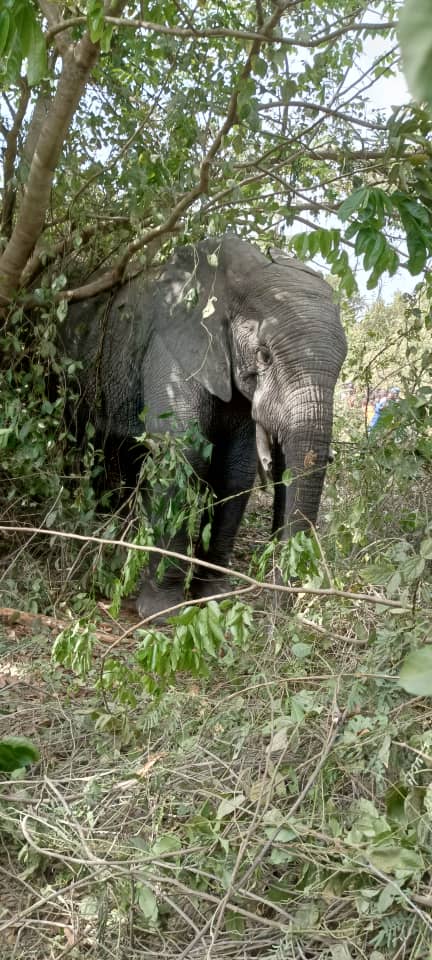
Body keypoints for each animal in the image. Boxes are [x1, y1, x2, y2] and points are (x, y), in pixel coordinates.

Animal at [61, 235, 347, 617]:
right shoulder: (174, 347)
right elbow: (183, 454)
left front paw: (212, 598)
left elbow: (234, 469)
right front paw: (162, 612)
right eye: (264, 355)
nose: (279, 604)